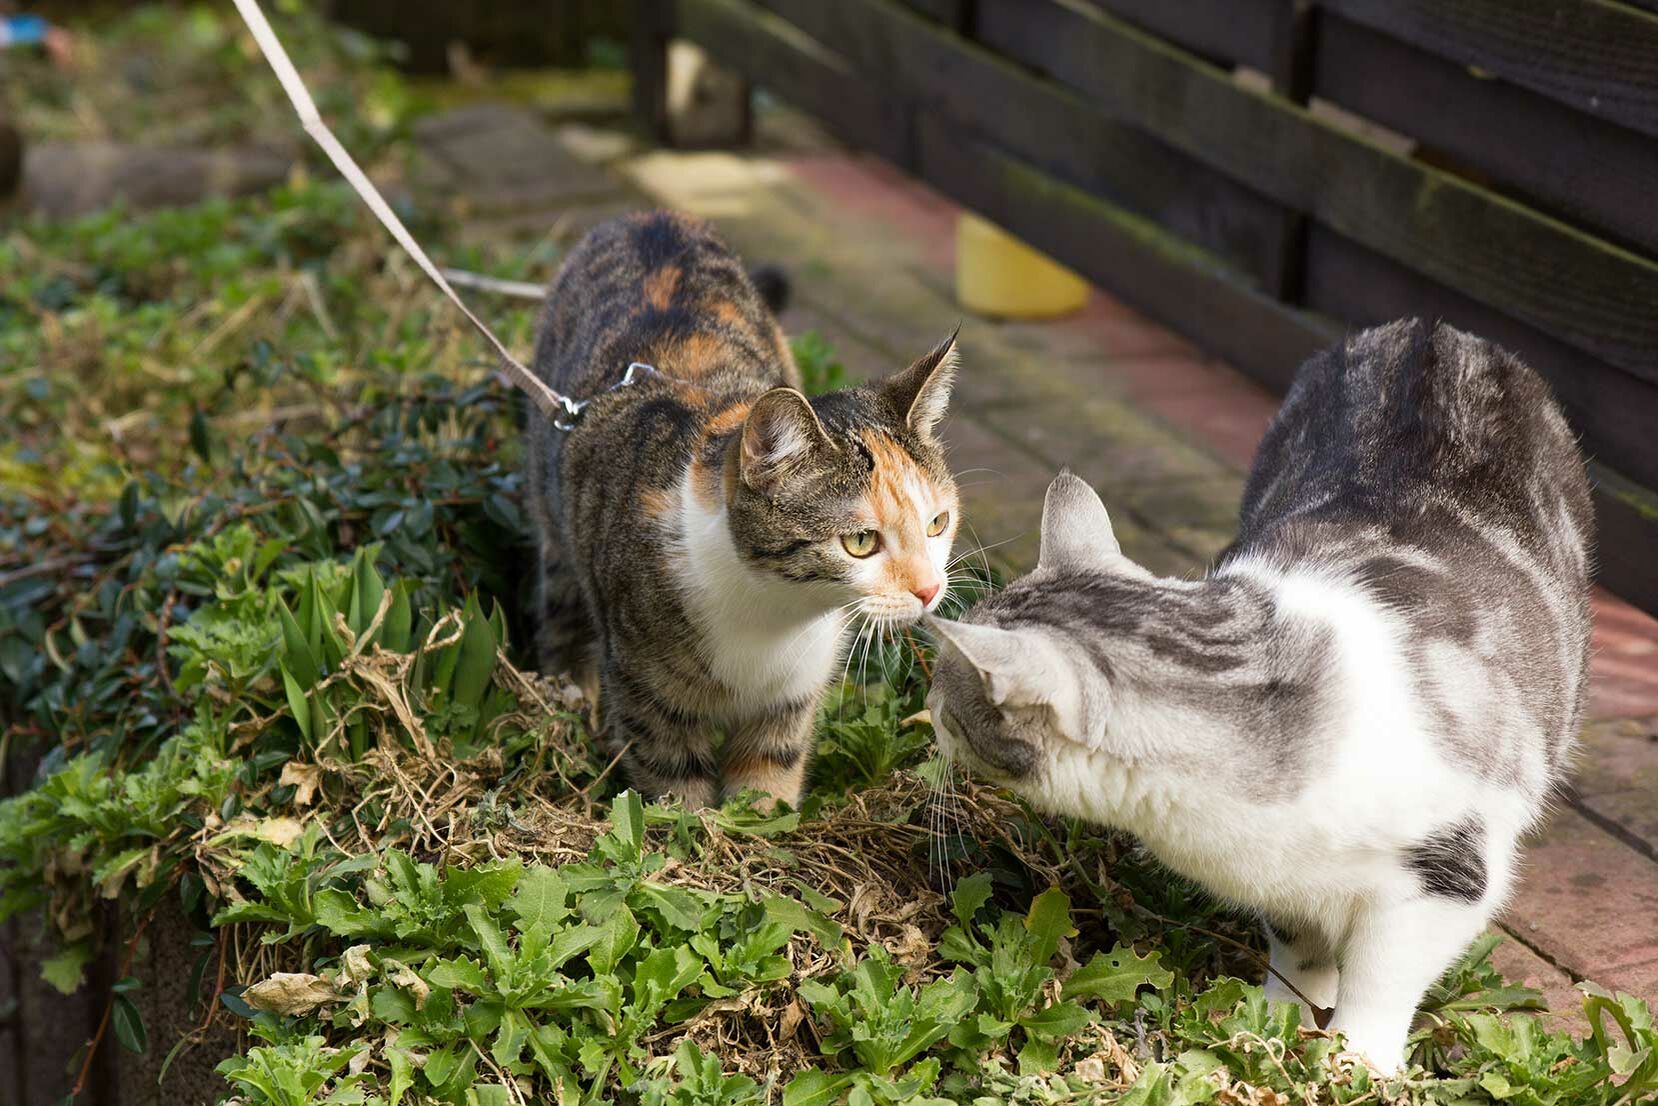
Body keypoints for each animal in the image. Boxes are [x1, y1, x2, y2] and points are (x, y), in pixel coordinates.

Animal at [523, 212, 968, 809]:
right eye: (860, 542)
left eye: (937, 523)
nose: (928, 589)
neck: (775, 609)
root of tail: (647, 217)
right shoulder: (648, 694)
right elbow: (672, 784)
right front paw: (689, 829)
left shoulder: (791, 698)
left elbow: (767, 781)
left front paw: (757, 822)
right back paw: (568, 688)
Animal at [935, 318, 1591, 1074]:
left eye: (946, 697)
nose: (925, 712)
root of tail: (1431, 327)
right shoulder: (1281, 882)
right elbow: (1296, 945)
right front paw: (1279, 1018)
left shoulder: (1447, 875)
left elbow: (1383, 978)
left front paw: (1355, 1061)